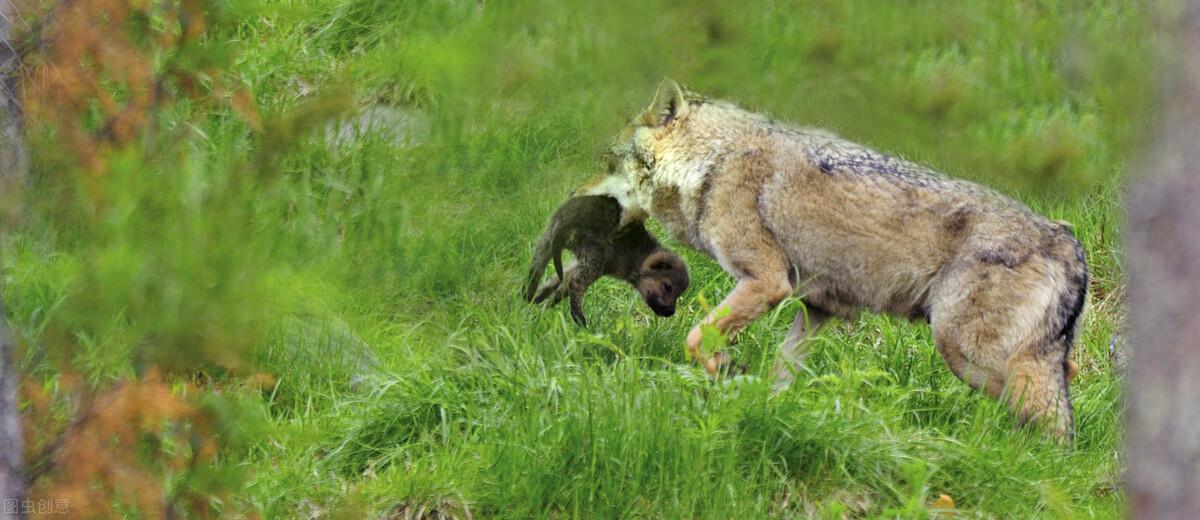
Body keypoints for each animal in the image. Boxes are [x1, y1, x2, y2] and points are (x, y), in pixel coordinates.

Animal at [571, 79, 1089, 437]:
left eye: (606, 162)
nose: (573, 198)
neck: (715, 163)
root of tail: (1071, 244)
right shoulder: (817, 309)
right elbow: (779, 377)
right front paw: (758, 407)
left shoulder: (766, 283)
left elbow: (696, 338)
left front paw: (728, 373)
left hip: (967, 354)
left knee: (1046, 424)